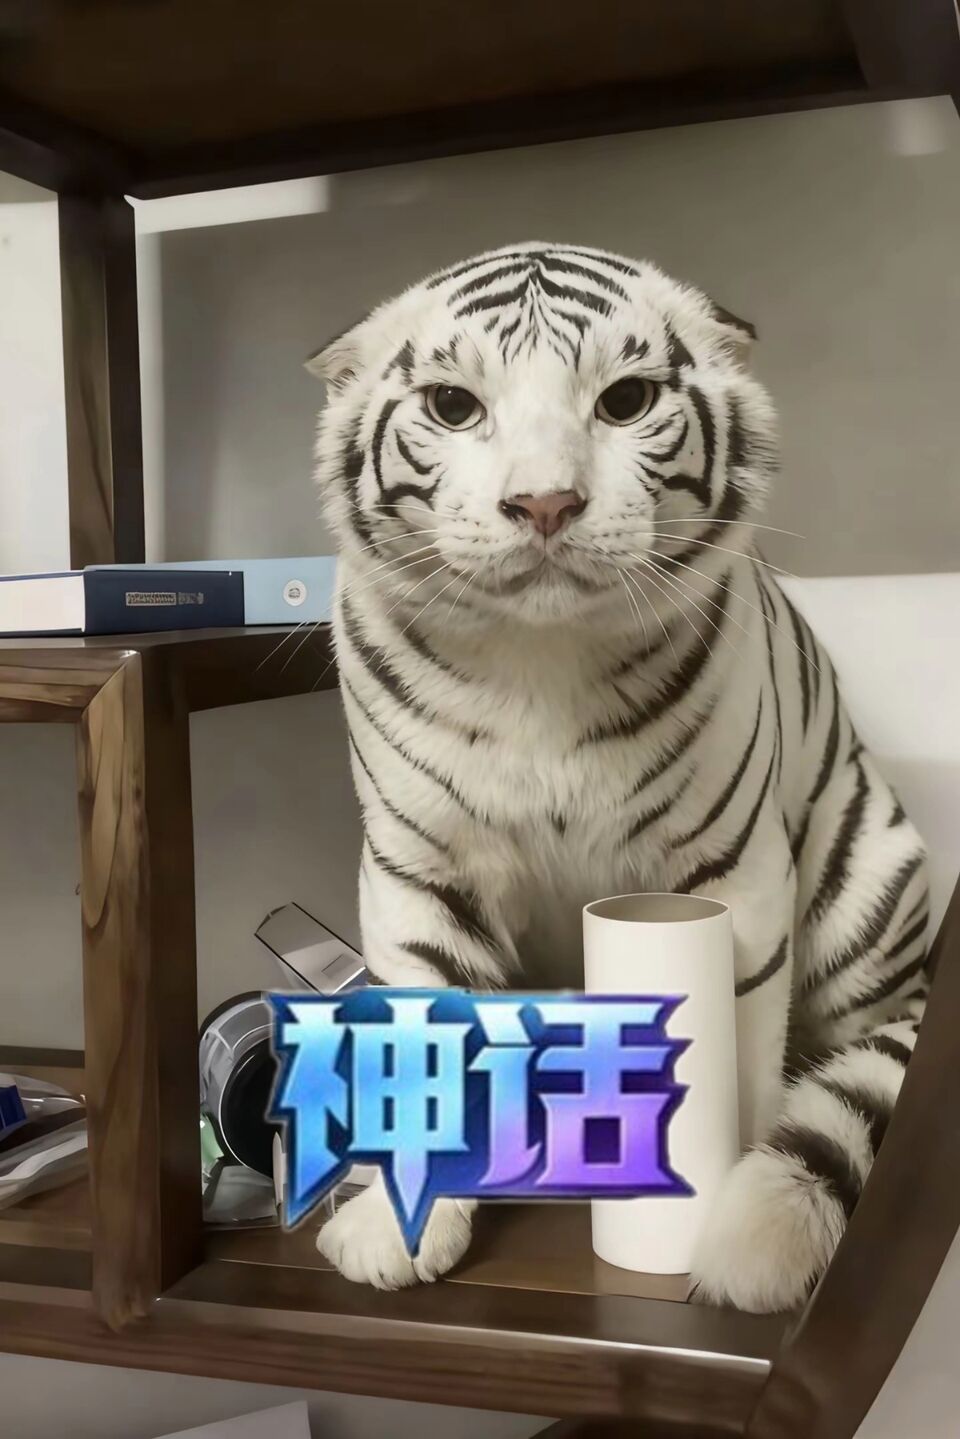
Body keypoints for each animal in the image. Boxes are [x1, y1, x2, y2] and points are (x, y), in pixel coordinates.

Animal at [307, 242, 929, 1312]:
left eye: (626, 400)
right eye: (454, 405)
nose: (544, 503)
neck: (537, 656)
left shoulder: (732, 876)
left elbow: (742, 1059)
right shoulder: (420, 865)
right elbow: (420, 1018)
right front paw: (394, 1228)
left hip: (869, 882)